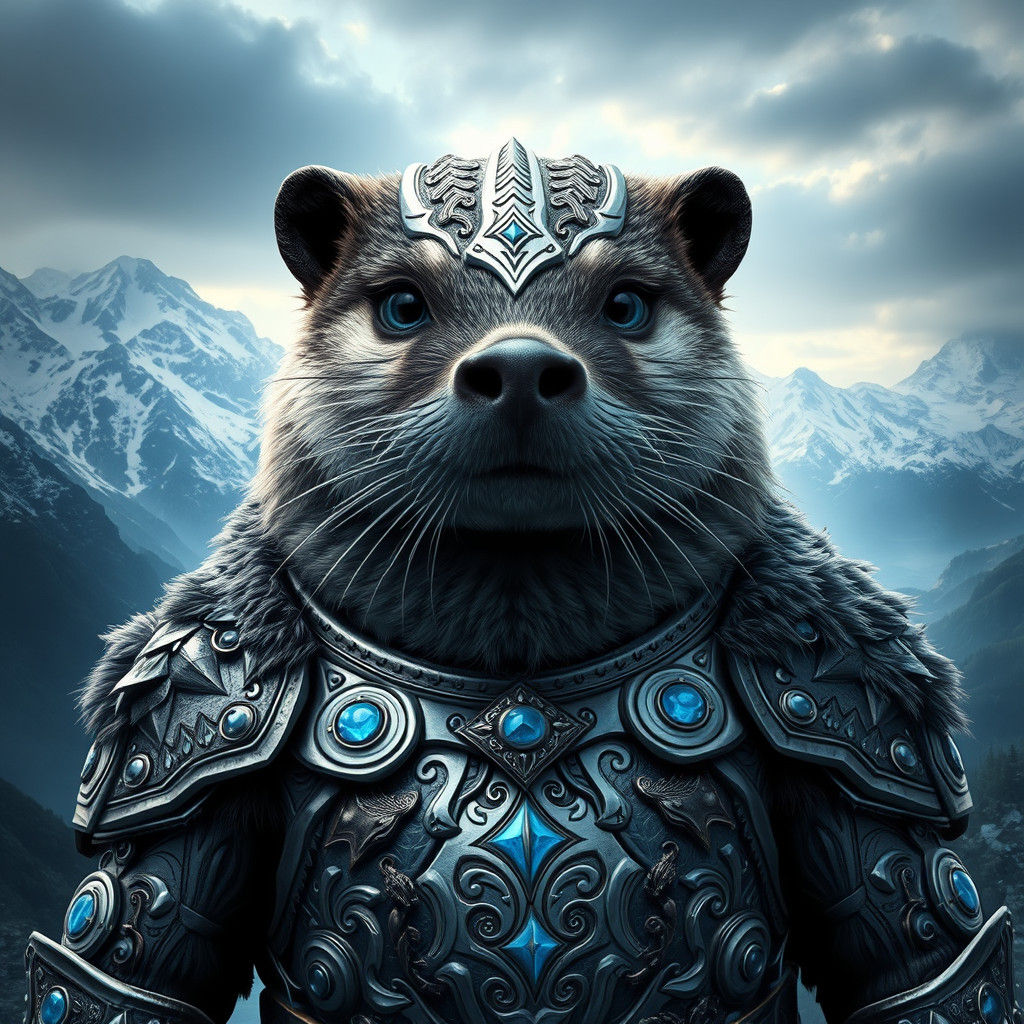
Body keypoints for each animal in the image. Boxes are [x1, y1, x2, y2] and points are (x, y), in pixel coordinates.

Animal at [22, 139, 1017, 1024]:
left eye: (625, 306)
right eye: (403, 307)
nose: (522, 371)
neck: (516, 608)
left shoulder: (844, 715)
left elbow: (920, 964)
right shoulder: (187, 736)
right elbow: (124, 969)